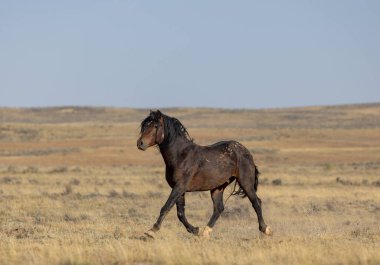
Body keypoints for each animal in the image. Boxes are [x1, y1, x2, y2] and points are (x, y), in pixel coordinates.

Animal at [135, 109, 272, 237]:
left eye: (155, 126)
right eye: (144, 125)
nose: (140, 144)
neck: (180, 156)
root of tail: (246, 152)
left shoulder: (179, 187)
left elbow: (166, 207)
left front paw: (151, 231)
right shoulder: (179, 189)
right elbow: (180, 213)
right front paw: (194, 230)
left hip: (245, 182)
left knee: (256, 202)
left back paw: (265, 229)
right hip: (218, 187)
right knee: (219, 208)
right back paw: (205, 232)